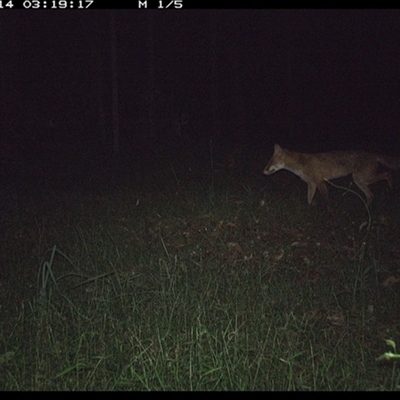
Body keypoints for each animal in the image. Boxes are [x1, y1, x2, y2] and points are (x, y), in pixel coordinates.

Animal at [264, 145, 398, 212]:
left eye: (270, 162)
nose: (263, 171)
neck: (301, 165)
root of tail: (373, 154)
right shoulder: (312, 184)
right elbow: (309, 199)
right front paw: (309, 209)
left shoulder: (320, 182)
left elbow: (326, 200)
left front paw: (328, 213)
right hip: (360, 181)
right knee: (371, 195)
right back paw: (367, 209)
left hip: (363, 178)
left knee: (389, 173)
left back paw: (392, 189)